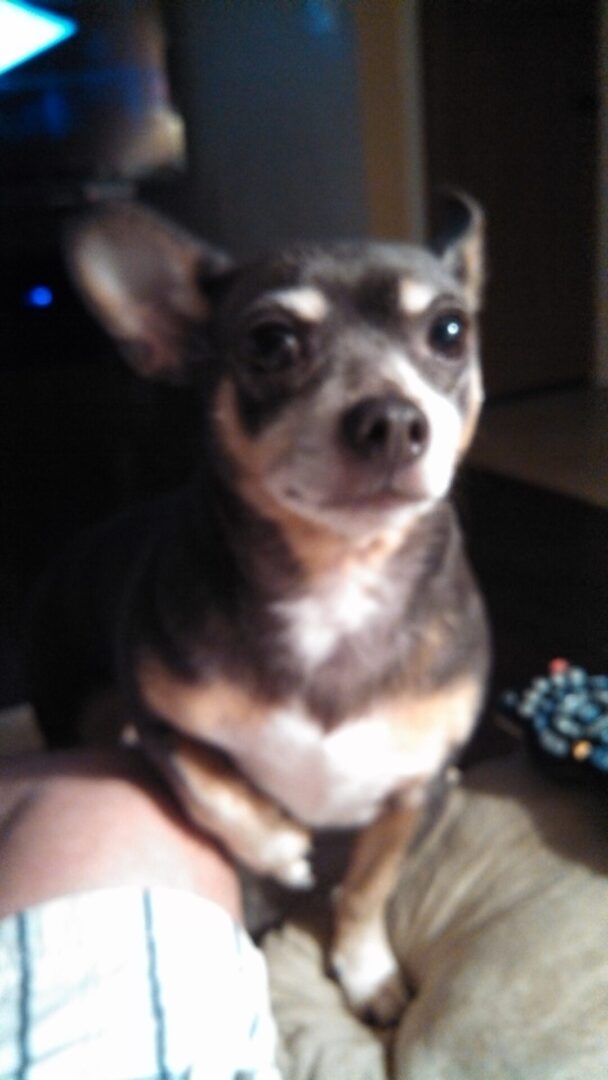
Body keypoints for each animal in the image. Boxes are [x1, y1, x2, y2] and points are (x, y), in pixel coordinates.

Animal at [30, 198, 492, 1023]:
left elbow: (365, 892)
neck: (339, 578)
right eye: (271, 343)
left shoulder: (413, 793)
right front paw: (275, 848)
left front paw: (364, 971)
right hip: (74, 710)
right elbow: (213, 789)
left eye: (449, 331)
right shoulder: (160, 721)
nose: (394, 421)